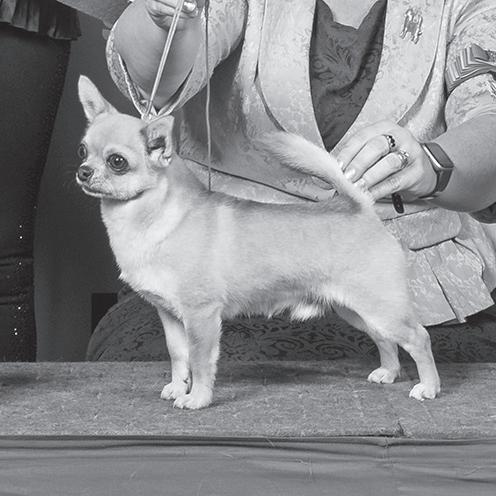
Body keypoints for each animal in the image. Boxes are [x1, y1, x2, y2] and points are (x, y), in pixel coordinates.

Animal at [76, 75, 440, 409]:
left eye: (117, 162)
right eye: (82, 150)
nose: (82, 171)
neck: (151, 220)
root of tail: (361, 208)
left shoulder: (201, 317)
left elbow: (200, 360)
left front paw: (198, 398)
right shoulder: (170, 315)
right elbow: (179, 356)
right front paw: (179, 388)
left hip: (381, 307)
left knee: (419, 338)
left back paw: (429, 388)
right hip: (356, 309)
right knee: (385, 340)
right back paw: (388, 372)